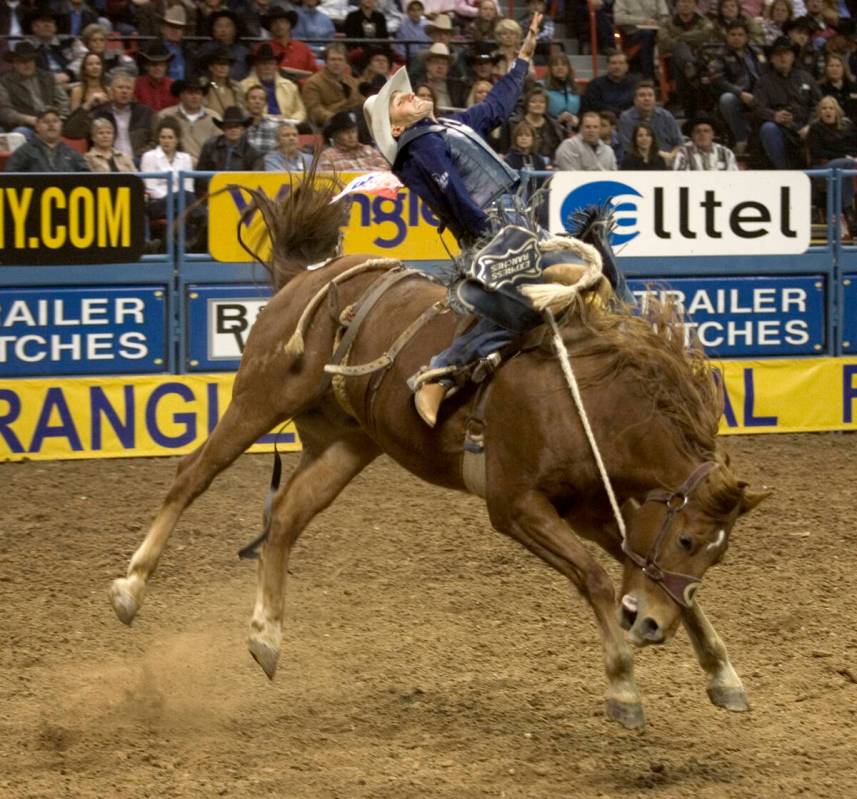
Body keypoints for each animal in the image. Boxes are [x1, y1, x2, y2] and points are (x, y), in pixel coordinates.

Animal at [107, 170, 768, 732]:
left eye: (717, 553)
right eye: (688, 540)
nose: (649, 625)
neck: (588, 398)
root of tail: (308, 275)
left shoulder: (590, 506)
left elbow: (655, 579)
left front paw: (724, 676)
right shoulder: (514, 506)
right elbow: (594, 577)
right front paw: (624, 689)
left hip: (345, 441)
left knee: (287, 517)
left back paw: (266, 636)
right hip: (259, 397)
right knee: (192, 476)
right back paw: (130, 589)